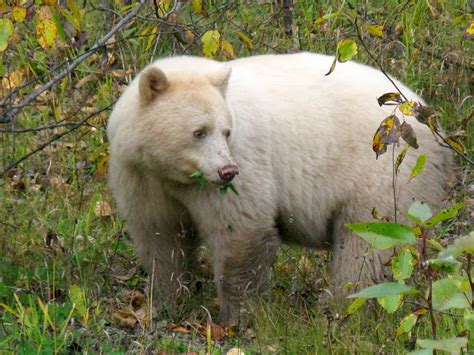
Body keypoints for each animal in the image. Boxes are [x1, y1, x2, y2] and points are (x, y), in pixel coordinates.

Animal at [107, 52, 452, 326]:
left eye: (226, 131)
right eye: (199, 132)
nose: (227, 171)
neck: (173, 174)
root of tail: (428, 120)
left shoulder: (243, 165)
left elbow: (240, 231)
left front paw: (234, 318)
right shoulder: (141, 176)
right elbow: (160, 236)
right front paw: (169, 300)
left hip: (381, 174)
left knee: (366, 247)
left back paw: (339, 309)